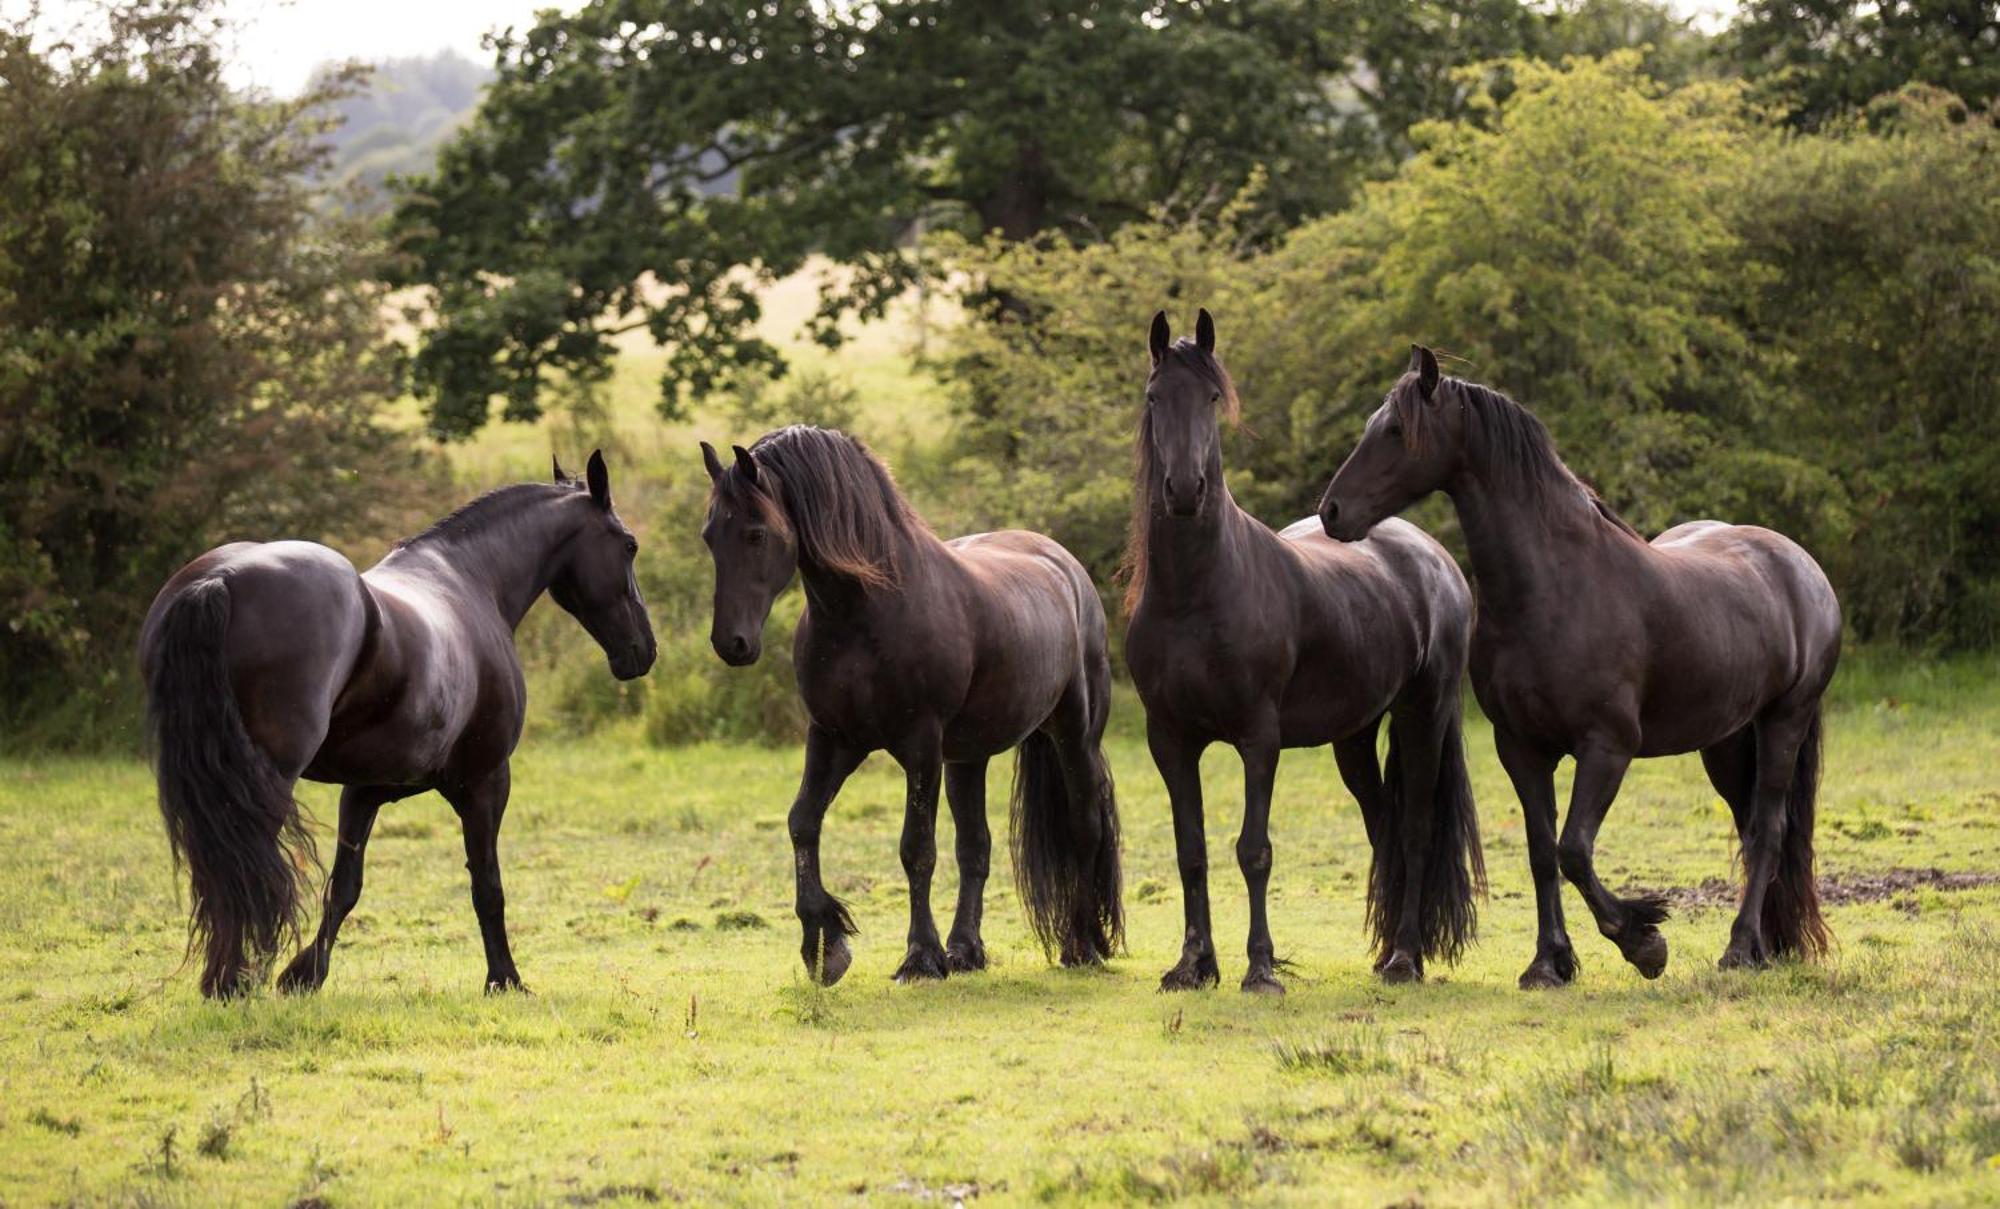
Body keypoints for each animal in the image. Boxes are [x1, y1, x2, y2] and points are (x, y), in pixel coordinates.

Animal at [143, 456, 656, 1000]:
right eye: (628, 545)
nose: (643, 649)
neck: (470, 580)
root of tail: (220, 580)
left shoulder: (366, 789)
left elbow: (345, 887)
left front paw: (306, 974)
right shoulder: (486, 781)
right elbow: (487, 886)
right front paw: (504, 978)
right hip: (268, 781)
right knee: (240, 869)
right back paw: (230, 981)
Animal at [704, 424, 1120, 980]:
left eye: (755, 533)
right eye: (710, 536)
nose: (732, 643)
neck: (866, 612)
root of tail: (1067, 567)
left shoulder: (920, 747)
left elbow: (916, 848)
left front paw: (920, 957)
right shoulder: (833, 738)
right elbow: (802, 823)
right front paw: (824, 945)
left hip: (1074, 736)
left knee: (1083, 829)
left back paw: (1081, 946)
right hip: (969, 757)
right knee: (976, 848)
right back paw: (965, 951)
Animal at [1128, 312, 1488, 992]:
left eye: (1212, 398)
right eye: (1155, 397)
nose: (1185, 490)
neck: (1195, 593)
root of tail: (1433, 557)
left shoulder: (1258, 739)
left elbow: (1253, 850)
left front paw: (1261, 968)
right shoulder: (1170, 740)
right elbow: (1192, 850)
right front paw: (1193, 965)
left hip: (1423, 715)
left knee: (1417, 830)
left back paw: (1406, 958)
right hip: (1354, 737)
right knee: (1384, 827)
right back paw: (1386, 953)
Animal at [1320, 344, 1832, 988]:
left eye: (1394, 430)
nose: (1332, 511)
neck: (1554, 587)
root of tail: (1802, 567)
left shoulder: (1606, 746)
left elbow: (1574, 850)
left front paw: (1644, 942)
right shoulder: (1521, 749)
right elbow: (1544, 852)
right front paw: (1549, 962)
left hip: (1784, 721)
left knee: (1768, 830)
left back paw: (1739, 950)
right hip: (1728, 740)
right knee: (1750, 825)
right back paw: (1763, 948)